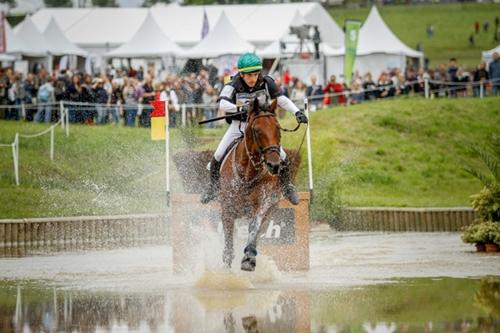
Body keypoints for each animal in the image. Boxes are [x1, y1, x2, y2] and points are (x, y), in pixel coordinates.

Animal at [219, 96, 286, 270]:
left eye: (278, 129)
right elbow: (228, 241)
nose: (274, 165)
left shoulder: (262, 205)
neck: (248, 174)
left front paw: (249, 258)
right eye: (257, 130)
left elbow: (254, 227)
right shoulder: (228, 209)